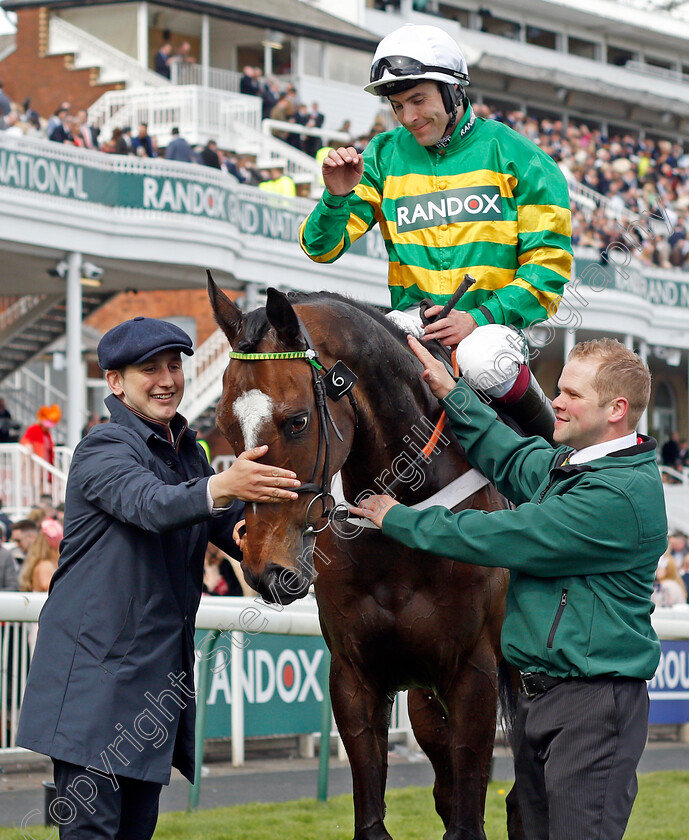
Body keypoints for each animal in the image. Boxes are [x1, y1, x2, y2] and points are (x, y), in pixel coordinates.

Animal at [207, 276, 520, 840]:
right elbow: (376, 815)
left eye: (297, 421)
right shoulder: (356, 676)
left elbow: (469, 820)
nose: (266, 571)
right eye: (224, 423)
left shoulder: (473, 676)